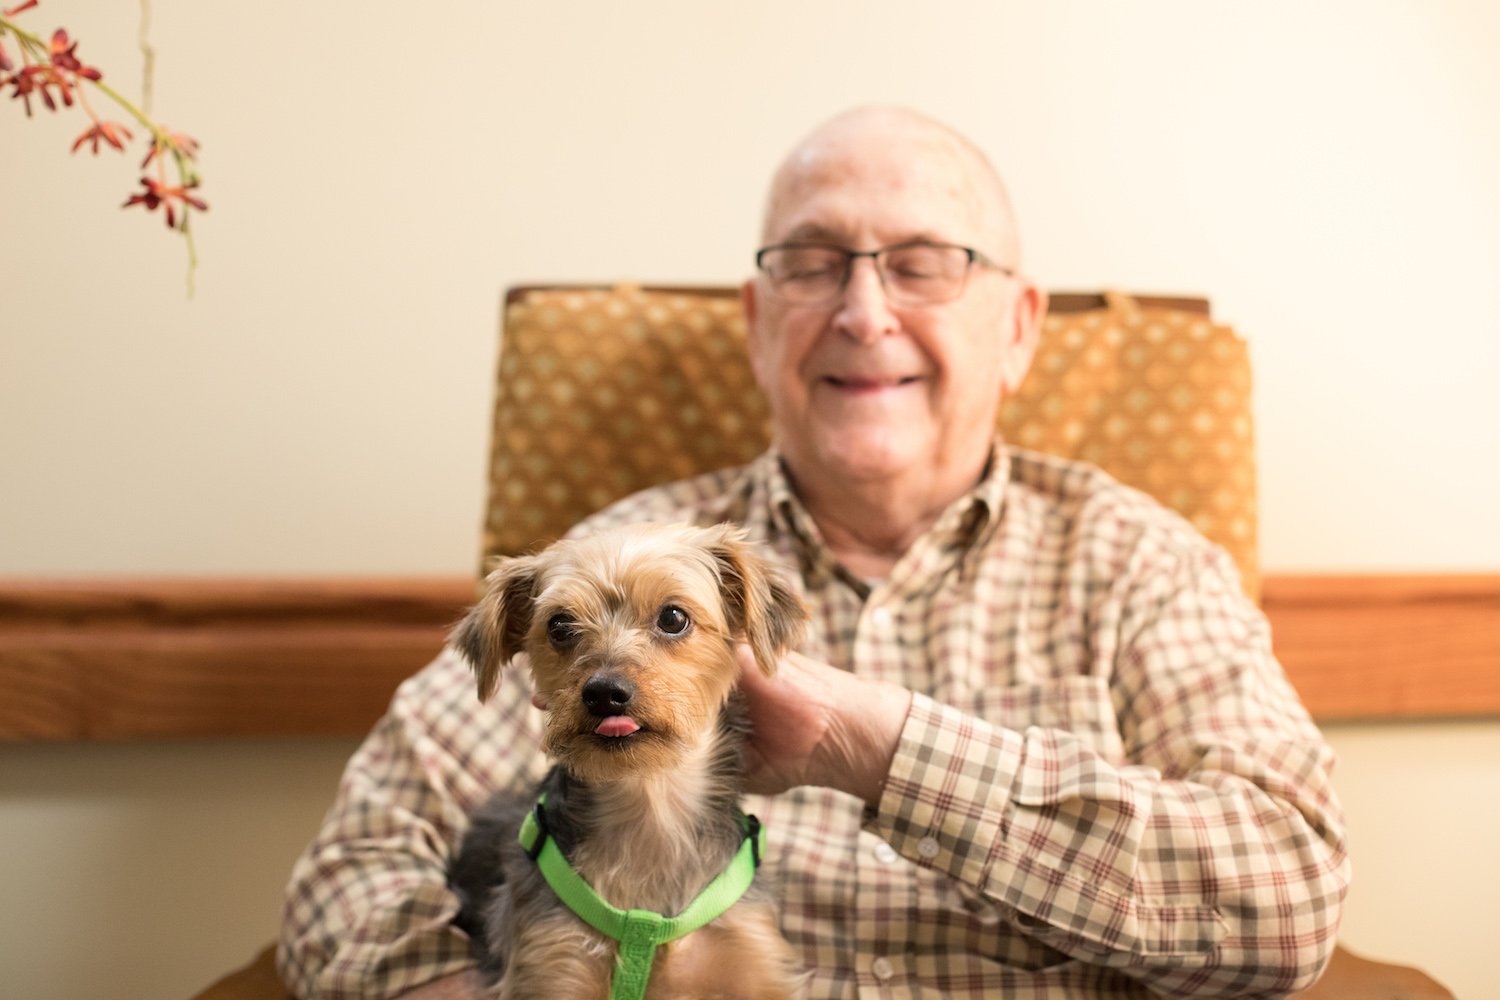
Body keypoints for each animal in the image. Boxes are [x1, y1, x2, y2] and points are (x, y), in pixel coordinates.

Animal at [447, 524, 810, 1000]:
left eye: (673, 618)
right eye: (559, 626)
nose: (604, 692)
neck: (649, 805)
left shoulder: (751, 954)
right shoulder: (551, 961)